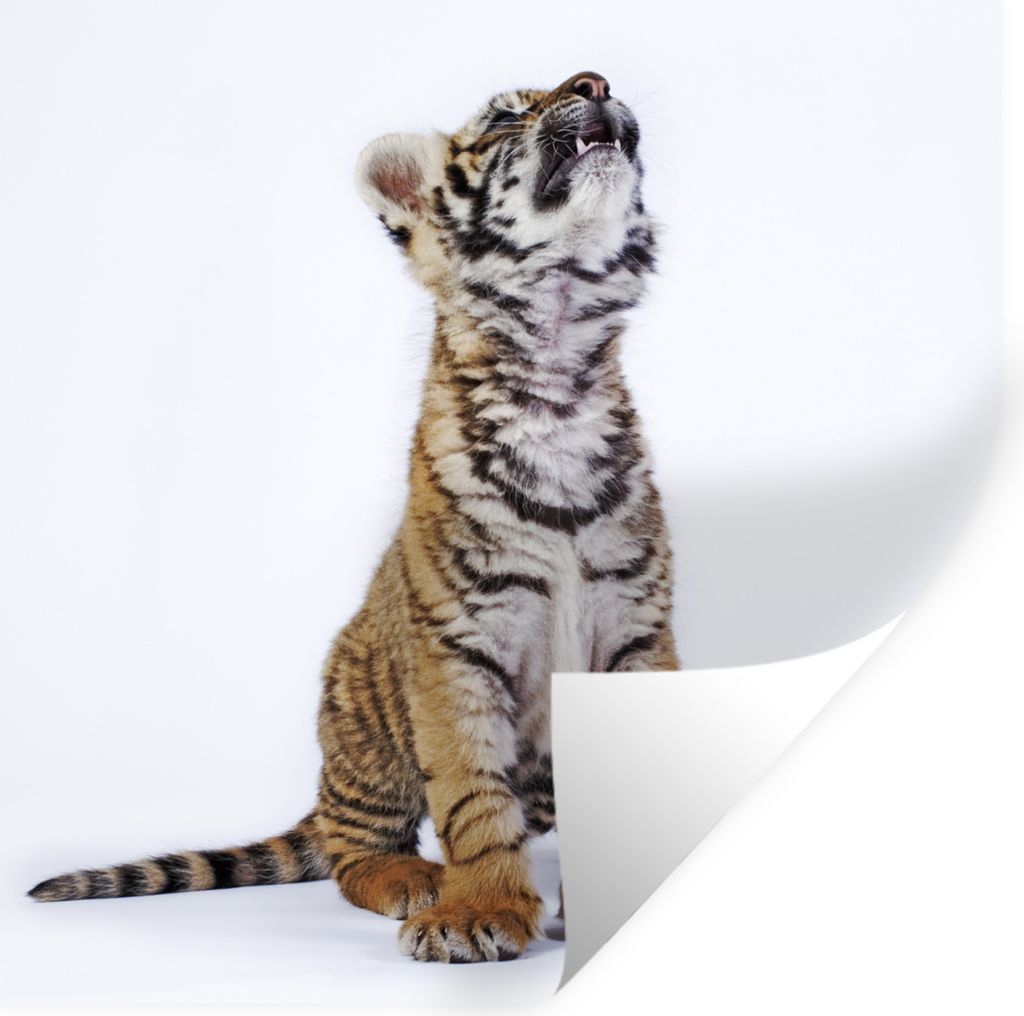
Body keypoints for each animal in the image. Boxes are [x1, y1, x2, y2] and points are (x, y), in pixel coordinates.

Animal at [28, 70, 679, 963]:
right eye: (506, 116)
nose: (596, 81)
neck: (556, 366)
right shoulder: (456, 643)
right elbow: (472, 795)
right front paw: (480, 909)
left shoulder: (637, 627)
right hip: (365, 717)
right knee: (352, 848)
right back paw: (413, 881)